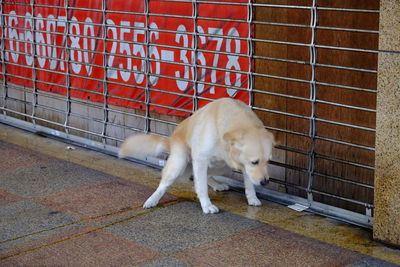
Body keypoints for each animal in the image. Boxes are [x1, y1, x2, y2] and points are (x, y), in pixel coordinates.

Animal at [119, 98, 276, 214]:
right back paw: (152, 200)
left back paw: (217, 185)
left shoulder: (242, 165)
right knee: (165, 184)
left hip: (223, 166)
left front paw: (252, 198)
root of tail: (172, 139)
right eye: (254, 162)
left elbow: (249, 185)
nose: (265, 182)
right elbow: (201, 187)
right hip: (180, 163)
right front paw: (207, 206)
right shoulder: (201, 159)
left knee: (203, 175)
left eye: (268, 162)